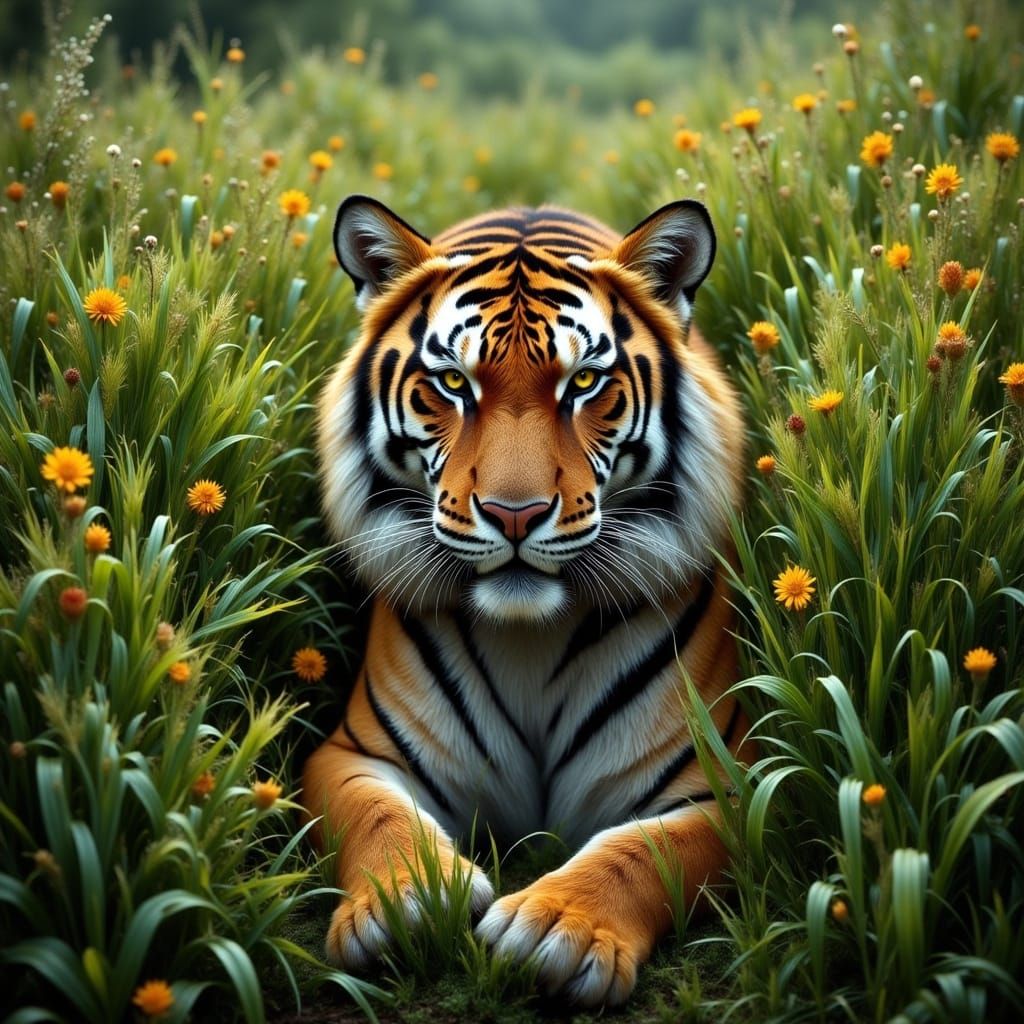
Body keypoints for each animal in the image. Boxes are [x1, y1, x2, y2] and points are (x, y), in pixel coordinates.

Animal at [302, 194, 752, 1007]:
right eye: (453, 384)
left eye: (584, 384)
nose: (516, 514)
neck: (529, 638)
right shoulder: (353, 753)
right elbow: (378, 816)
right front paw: (404, 898)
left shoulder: (728, 782)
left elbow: (647, 847)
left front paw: (558, 929)